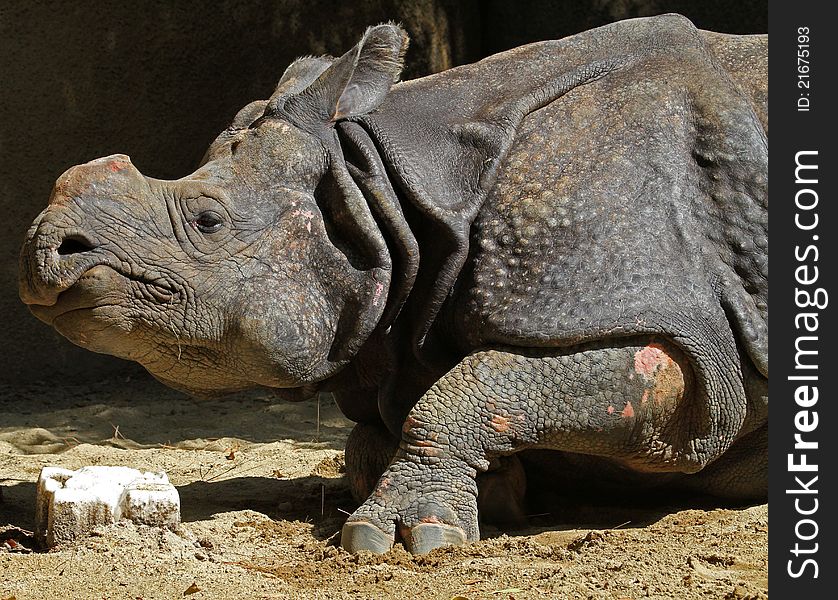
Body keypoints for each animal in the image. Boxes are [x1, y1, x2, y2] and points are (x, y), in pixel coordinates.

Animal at [18, 14, 768, 556]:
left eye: (208, 220)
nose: (47, 250)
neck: (383, 193)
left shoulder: (663, 323)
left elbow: (480, 385)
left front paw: (404, 537)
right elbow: (380, 430)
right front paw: (503, 490)